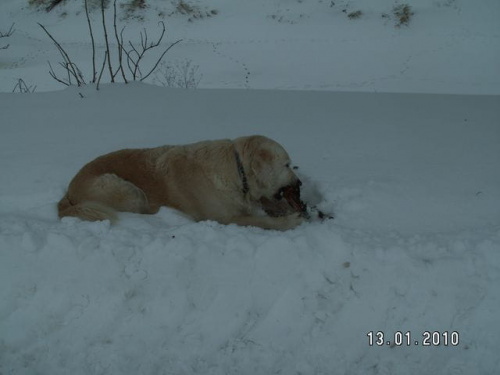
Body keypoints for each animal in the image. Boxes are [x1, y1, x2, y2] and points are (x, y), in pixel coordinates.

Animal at [57, 135, 304, 229]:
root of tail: (68, 191)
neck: (236, 170)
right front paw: (290, 220)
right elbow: (260, 221)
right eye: (287, 165)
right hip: (128, 190)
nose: (300, 183)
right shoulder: (223, 218)